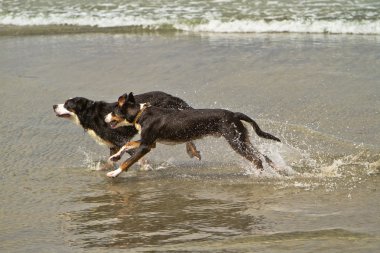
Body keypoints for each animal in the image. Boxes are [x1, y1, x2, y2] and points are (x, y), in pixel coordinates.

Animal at [54, 91, 202, 168]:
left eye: (67, 104)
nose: (54, 105)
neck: (89, 114)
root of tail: (171, 97)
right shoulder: (113, 145)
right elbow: (110, 161)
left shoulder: (120, 140)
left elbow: (137, 156)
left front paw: (145, 168)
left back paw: (192, 150)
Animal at [105, 92, 280, 177]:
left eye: (113, 111)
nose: (105, 118)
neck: (142, 113)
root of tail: (234, 114)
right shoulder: (149, 142)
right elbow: (127, 145)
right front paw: (114, 157)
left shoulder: (146, 146)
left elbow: (127, 162)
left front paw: (114, 173)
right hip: (242, 139)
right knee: (263, 156)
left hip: (236, 142)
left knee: (257, 159)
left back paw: (258, 175)